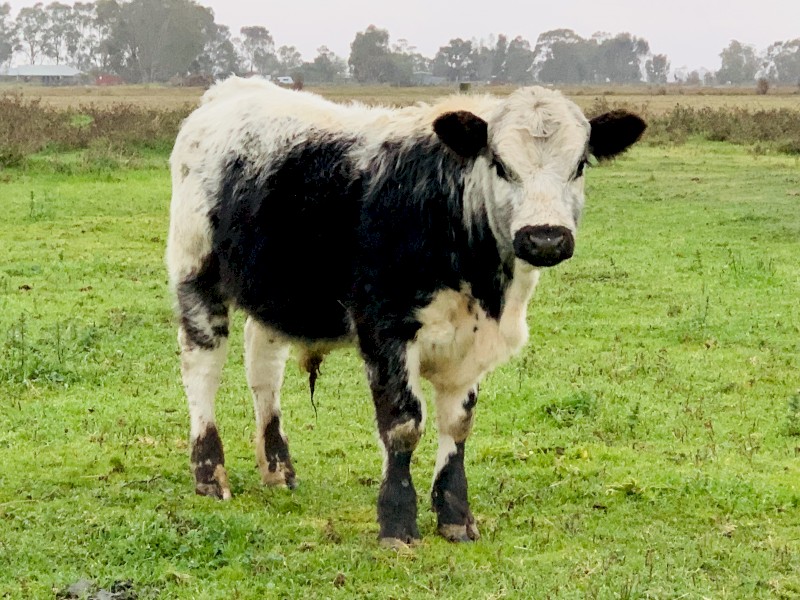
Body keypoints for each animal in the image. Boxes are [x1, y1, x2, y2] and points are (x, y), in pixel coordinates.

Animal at [166, 76, 645, 546]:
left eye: (579, 165)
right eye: (500, 164)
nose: (545, 238)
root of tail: (234, 90)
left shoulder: (470, 344)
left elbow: (458, 425)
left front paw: (455, 516)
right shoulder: (385, 331)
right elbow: (403, 425)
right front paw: (397, 522)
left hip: (274, 296)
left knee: (264, 372)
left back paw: (278, 469)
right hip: (196, 273)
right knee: (202, 369)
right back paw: (209, 473)